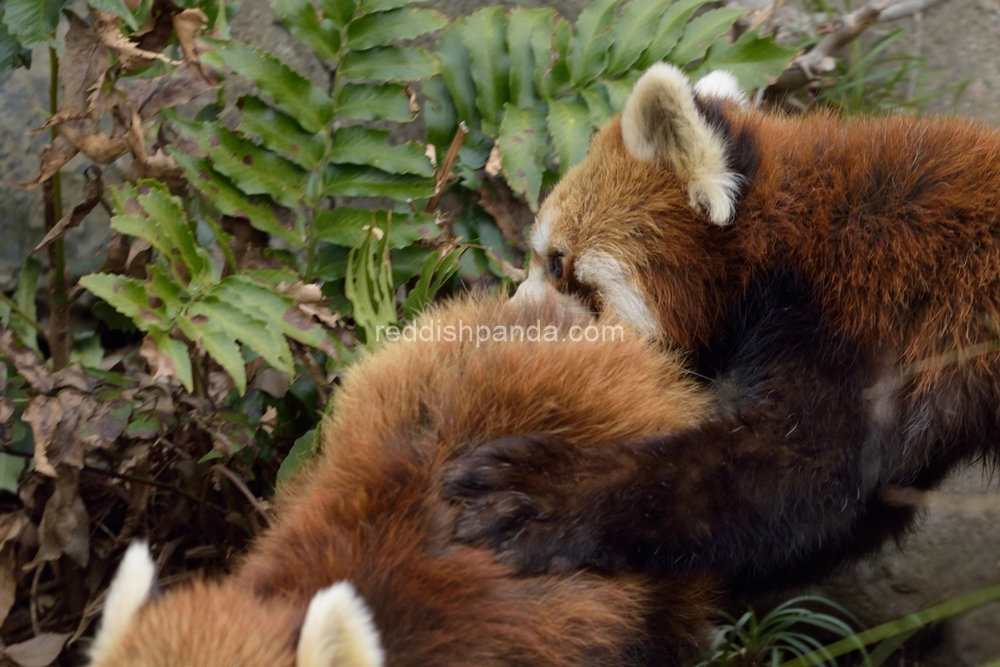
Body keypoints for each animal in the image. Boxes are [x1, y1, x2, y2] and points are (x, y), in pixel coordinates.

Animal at [446, 64, 1000, 596]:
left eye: (557, 263)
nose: (507, 320)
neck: (798, 235)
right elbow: (863, 511)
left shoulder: (870, 322)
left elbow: (793, 477)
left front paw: (545, 491)